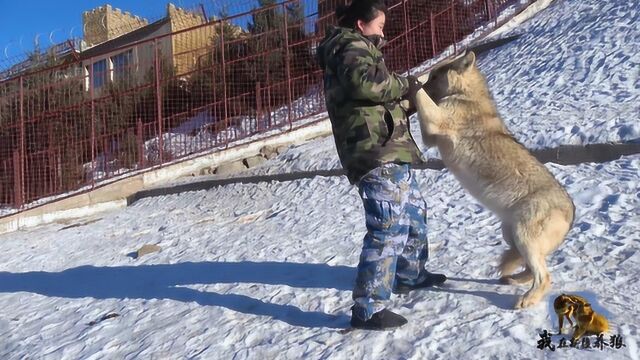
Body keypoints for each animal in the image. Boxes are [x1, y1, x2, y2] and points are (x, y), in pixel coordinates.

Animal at [410, 51, 576, 310]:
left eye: (436, 75)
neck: (466, 96)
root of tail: (572, 212)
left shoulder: (436, 121)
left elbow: (420, 95)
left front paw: (409, 78)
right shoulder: (431, 136)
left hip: (522, 236)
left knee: (544, 276)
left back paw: (527, 299)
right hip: (511, 235)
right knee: (531, 269)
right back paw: (513, 280)